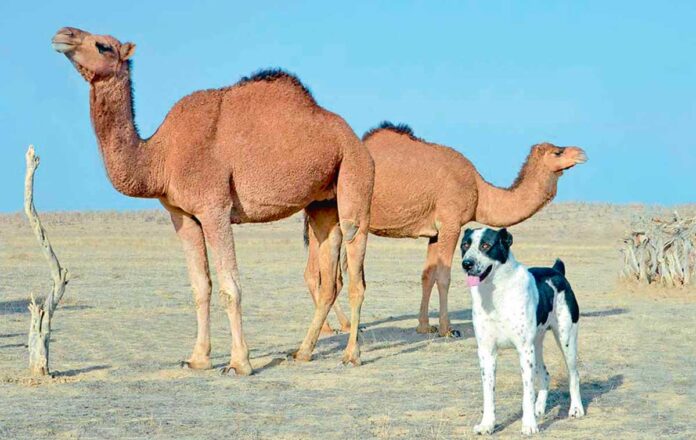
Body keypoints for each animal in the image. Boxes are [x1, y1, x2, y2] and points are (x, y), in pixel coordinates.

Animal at [52, 27, 375, 375]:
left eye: (103, 46)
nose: (62, 34)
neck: (161, 156)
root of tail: (353, 138)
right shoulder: (182, 215)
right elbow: (200, 286)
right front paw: (197, 358)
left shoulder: (214, 208)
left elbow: (230, 288)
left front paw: (239, 363)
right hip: (322, 203)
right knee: (329, 278)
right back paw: (302, 352)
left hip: (355, 172)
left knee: (355, 264)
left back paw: (351, 355)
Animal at [305, 122, 586, 337]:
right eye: (558, 152)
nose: (582, 152)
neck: (480, 190)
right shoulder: (451, 223)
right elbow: (444, 276)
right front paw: (447, 329)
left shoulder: (434, 233)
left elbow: (427, 276)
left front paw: (424, 327)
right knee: (318, 274)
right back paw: (331, 329)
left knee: (323, 274)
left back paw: (341, 326)